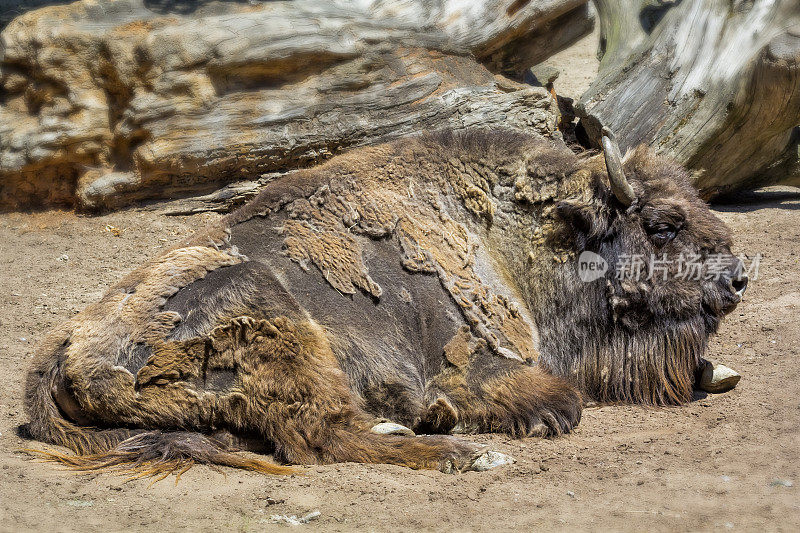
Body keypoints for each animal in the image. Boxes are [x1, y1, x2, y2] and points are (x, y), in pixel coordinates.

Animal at [26, 131, 752, 476]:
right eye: (662, 224)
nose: (739, 277)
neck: (513, 236)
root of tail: (60, 351)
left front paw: (717, 371)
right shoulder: (478, 366)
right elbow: (560, 400)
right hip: (275, 326)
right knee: (323, 438)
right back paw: (456, 448)